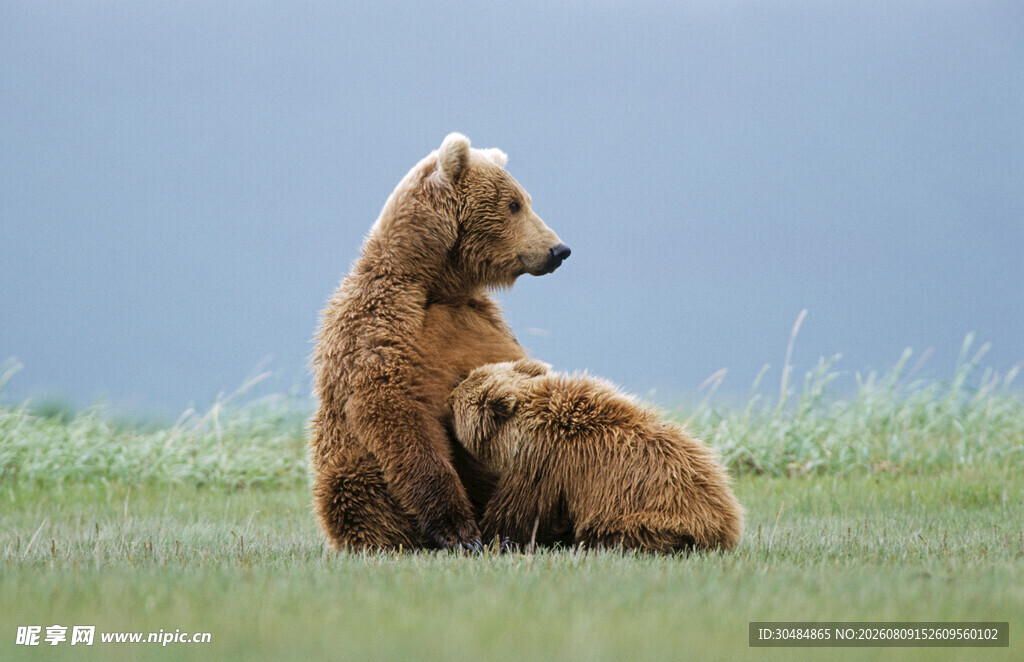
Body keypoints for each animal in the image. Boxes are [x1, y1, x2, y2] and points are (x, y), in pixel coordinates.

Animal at [310, 133, 571, 550]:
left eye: (525, 200)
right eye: (514, 204)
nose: (559, 250)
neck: (437, 284)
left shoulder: (481, 321)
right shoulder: (381, 326)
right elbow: (396, 412)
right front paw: (460, 531)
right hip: (348, 467)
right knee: (355, 488)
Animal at [449, 359, 744, 552]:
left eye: (458, 401)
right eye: (469, 377)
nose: (450, 392)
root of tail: (729, 520)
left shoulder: (544, 462)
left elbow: (517, 508)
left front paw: (496, 538)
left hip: (655, 515)